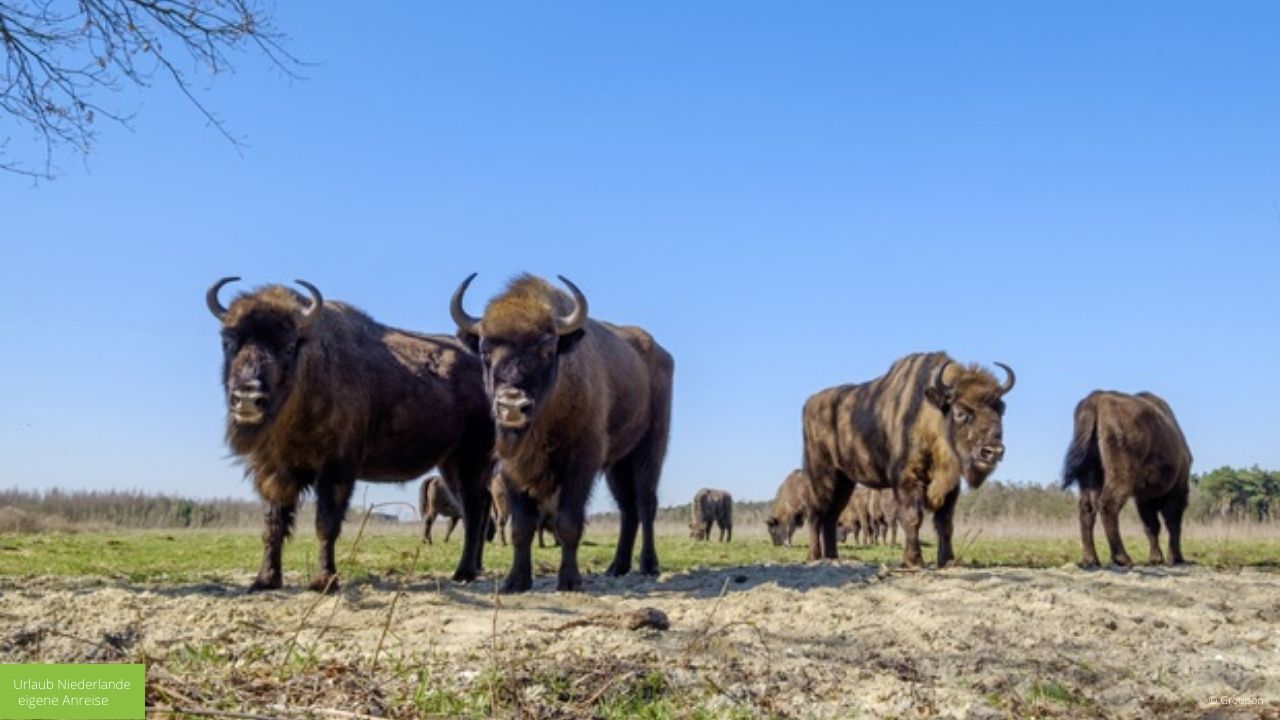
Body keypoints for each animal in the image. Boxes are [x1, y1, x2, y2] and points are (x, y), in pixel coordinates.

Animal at [207, 275, 491, 589]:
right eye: (228, 341)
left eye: (289, 346)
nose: (248, 396)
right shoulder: (274, 470)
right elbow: (273, 525)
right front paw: (265, 579)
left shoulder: (337, 468)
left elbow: (326, 524)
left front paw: (324, 580)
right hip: (449, 464)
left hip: (471, 458)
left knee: (475, 509)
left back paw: (464, 572)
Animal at [450, 270, 675, 589]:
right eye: (484, 350)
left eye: (547, 347)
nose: (512, 405)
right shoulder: (512, 469)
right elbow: (522, 526)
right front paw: (515, 582)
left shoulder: (581, 464)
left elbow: (568, 522)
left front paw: (569, 580)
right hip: (617, 464)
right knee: (627, 508)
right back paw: (616, 567)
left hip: (650, 448)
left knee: (645, 503)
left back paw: (648, 565)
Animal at [803, 351, 1013, 563]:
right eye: (960, 412)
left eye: (1001, 410)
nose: (993, 451)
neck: (929, 416)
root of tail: (809, 403)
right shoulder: (906, 479)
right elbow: (913, 518)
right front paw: (914, 560)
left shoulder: (951, 485)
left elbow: (945, 523)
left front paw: (947, 560)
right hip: (821, 476)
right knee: (816, 514)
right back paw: (814, 556)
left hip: (845, 482)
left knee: (831, 516)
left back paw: (832, 556)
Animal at [1059, 389, 1187, 563]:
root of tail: (1097, 398)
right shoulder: (1176, 488)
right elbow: (1172, 522)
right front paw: (1174, 557)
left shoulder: (1143, 498)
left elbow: (1152, 525)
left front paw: (1156, 557)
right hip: (1121, 473)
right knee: (1108, 505)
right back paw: (1122, 557)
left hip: (1089, 475)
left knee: (1087, 508)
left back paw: (1091, 559)